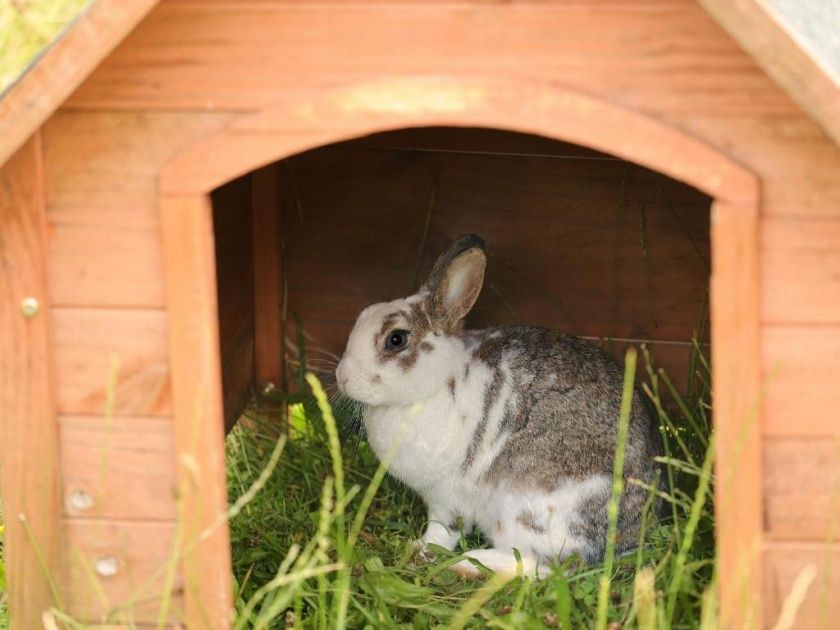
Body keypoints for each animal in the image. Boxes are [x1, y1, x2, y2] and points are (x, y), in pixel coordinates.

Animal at [334, 235, 664, 580]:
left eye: (396, 339)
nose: (343, 378)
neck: (436, 383)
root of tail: (625, 536)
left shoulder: (445, 499)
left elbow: (442, 532)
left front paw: (421, 550)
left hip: (522, 511)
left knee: (542, 566)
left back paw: (470, 563)